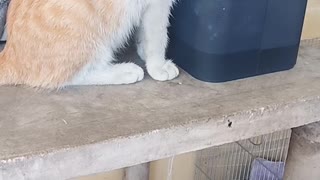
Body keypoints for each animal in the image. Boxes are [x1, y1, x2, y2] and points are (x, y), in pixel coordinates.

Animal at [0, 0, 180, 88]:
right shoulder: (157, 6)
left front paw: (143, 51)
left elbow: (146, 33)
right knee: (66, 77)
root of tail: (9, 56)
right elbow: (158, 37)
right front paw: (158, 66)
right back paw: (124, 71)